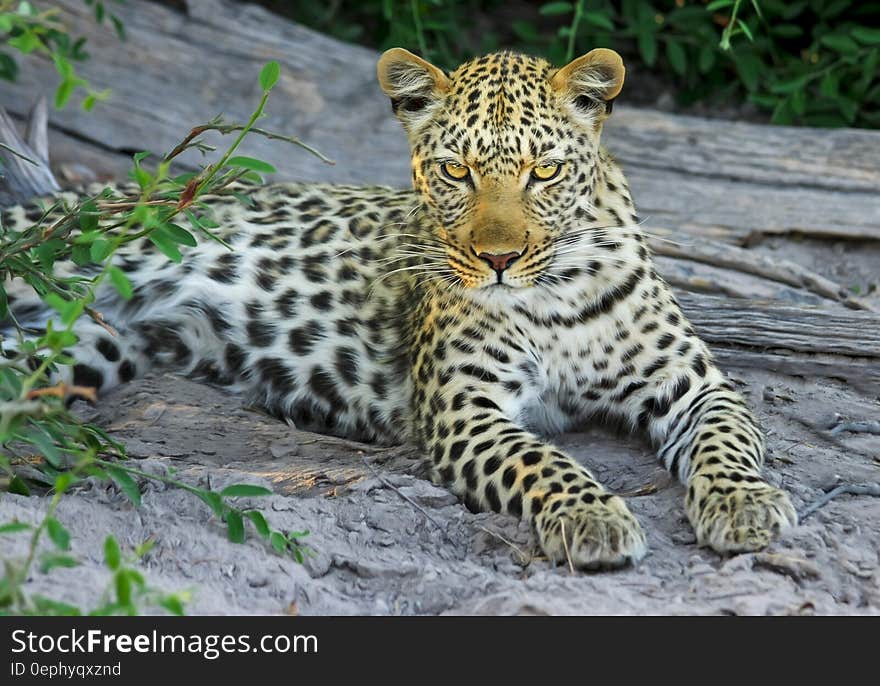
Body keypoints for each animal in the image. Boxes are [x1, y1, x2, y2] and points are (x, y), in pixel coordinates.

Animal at [0, 47, 796, 568]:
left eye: (544, 171)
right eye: (455, 171)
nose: (499, 259)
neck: (556, 290)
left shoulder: (695, 384)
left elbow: (728, 441)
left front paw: (745, 505)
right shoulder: (465, 408)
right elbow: (543, 460)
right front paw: (591, 515)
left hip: (81, 347)